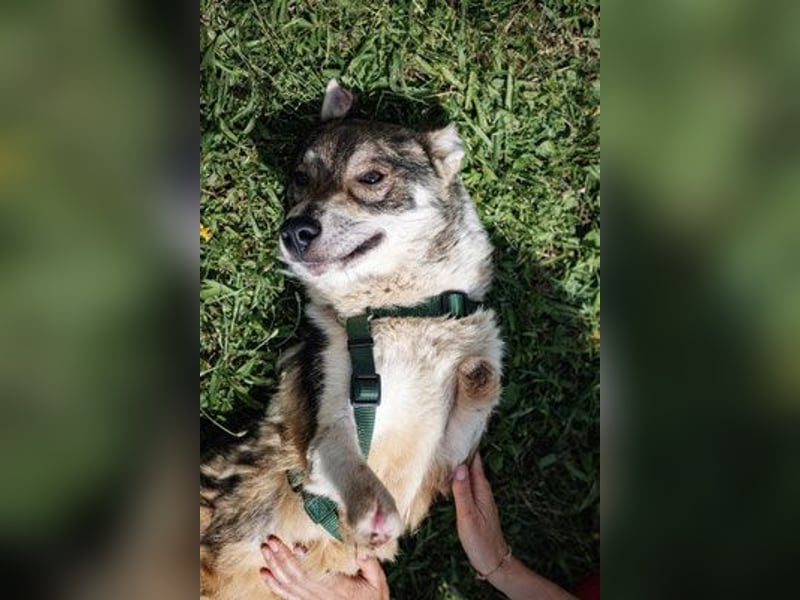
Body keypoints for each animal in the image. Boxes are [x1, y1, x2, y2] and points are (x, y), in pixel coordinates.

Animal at [200, 80, 503, 599]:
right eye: (301, 178)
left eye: (372, 177)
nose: (294, 231)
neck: (393, 311)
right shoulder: (326, 423)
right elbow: (348, 460)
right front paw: (373, 508)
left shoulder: (444, 461)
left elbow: (481, 384)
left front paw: (477, 368)